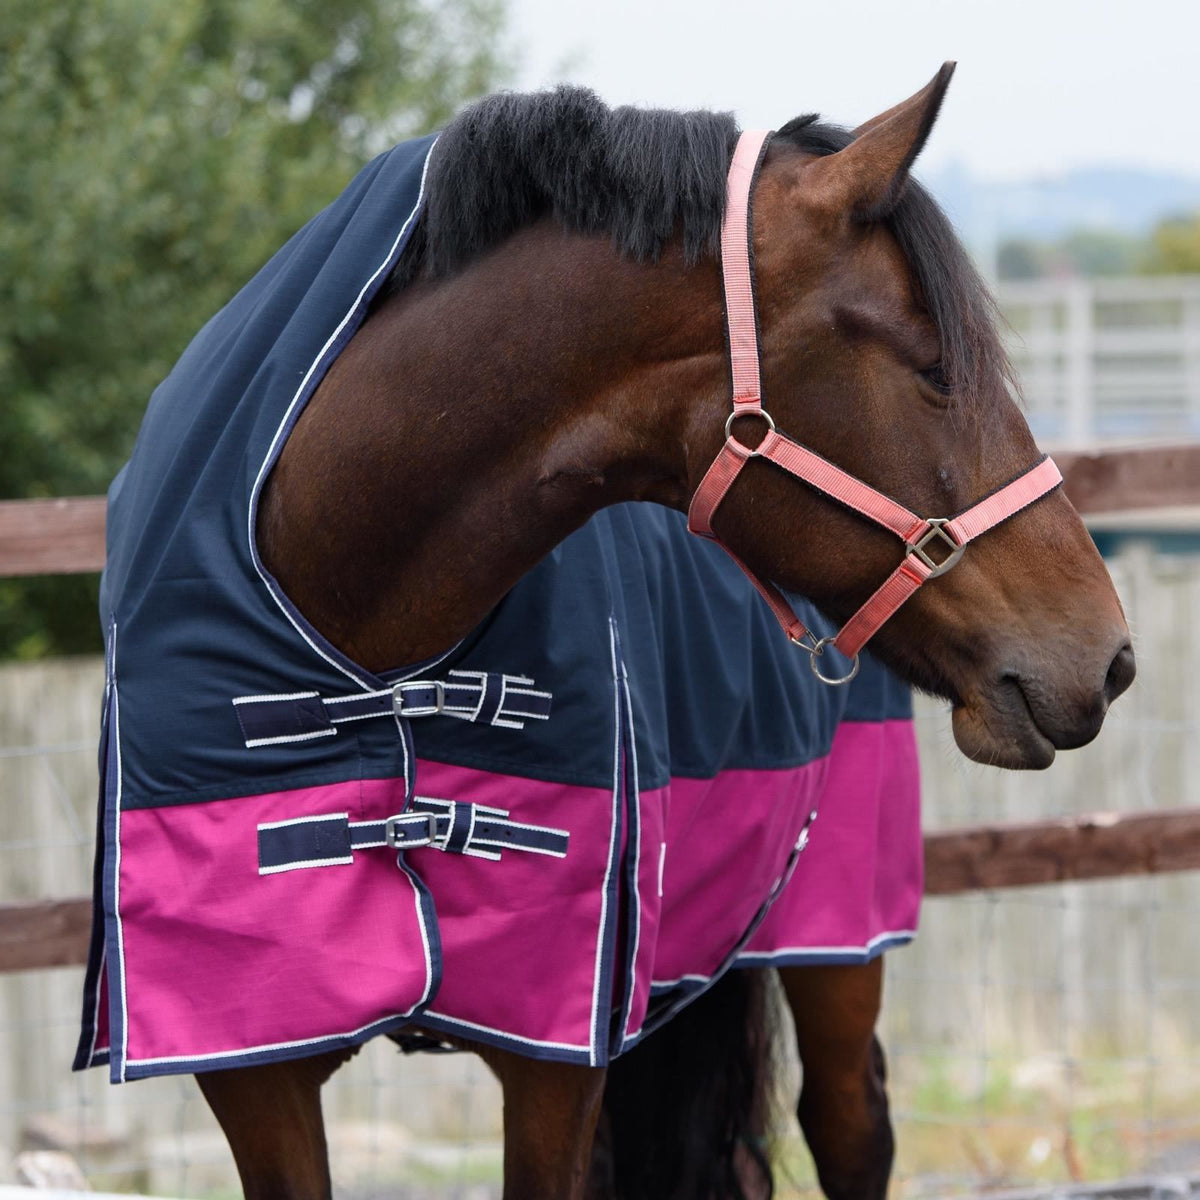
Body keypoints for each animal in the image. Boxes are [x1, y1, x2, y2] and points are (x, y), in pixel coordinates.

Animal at [74, 64, 1134, 1200]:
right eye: (933, 363)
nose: (1107, 656)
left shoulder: (555, 1050)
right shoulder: (254, 1063)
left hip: (835, 935)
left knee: (851, 1126)